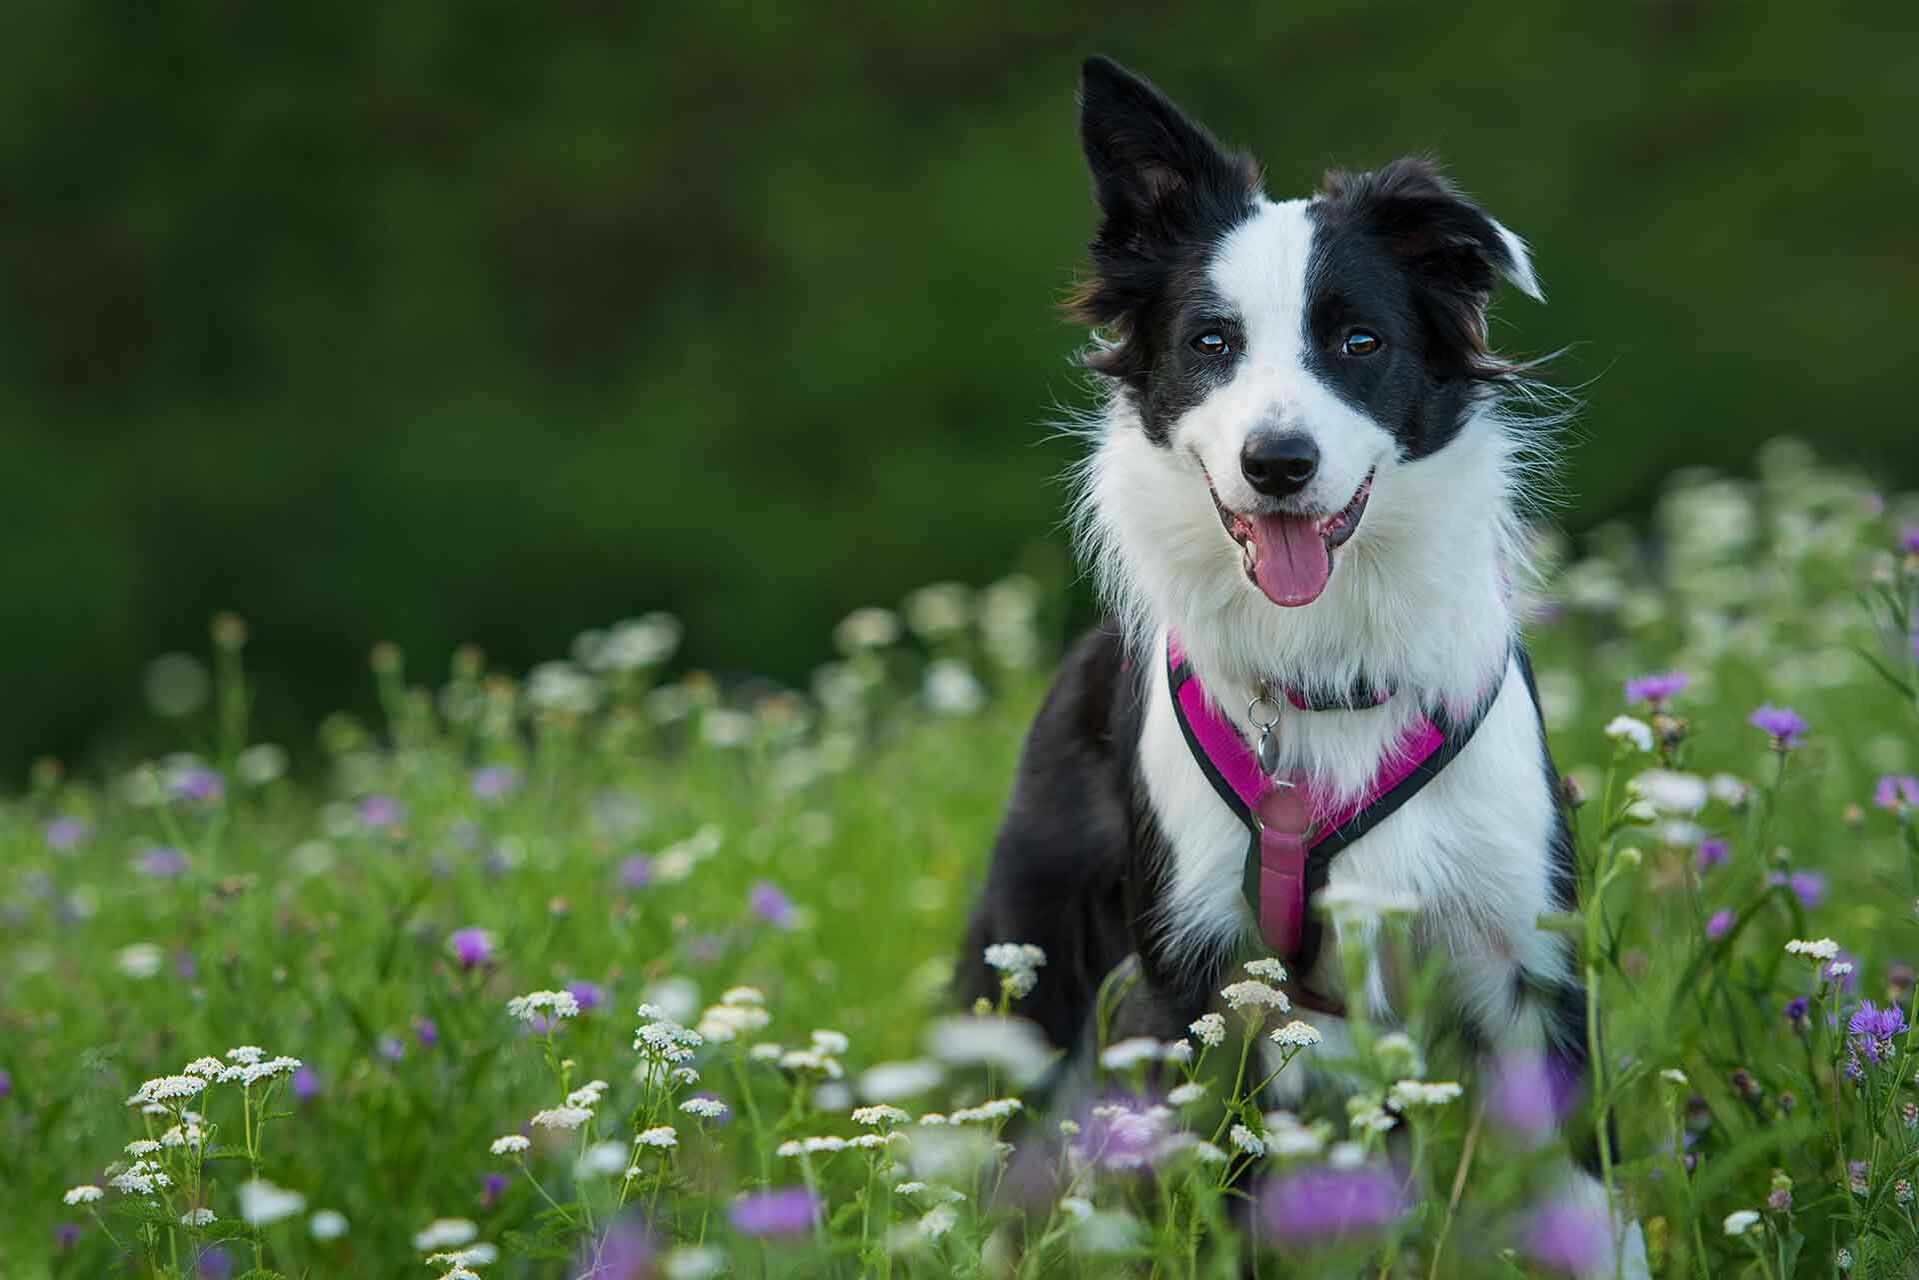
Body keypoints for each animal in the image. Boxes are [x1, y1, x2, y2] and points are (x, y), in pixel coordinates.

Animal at [959, 57, 1650, 1274]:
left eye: (1358, 342)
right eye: (1209, 344)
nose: (1276, 462)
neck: (1324, 671)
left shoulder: (1523, 959)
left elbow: (1588, 1201)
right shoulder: (1205, 977)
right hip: (1034, 955)